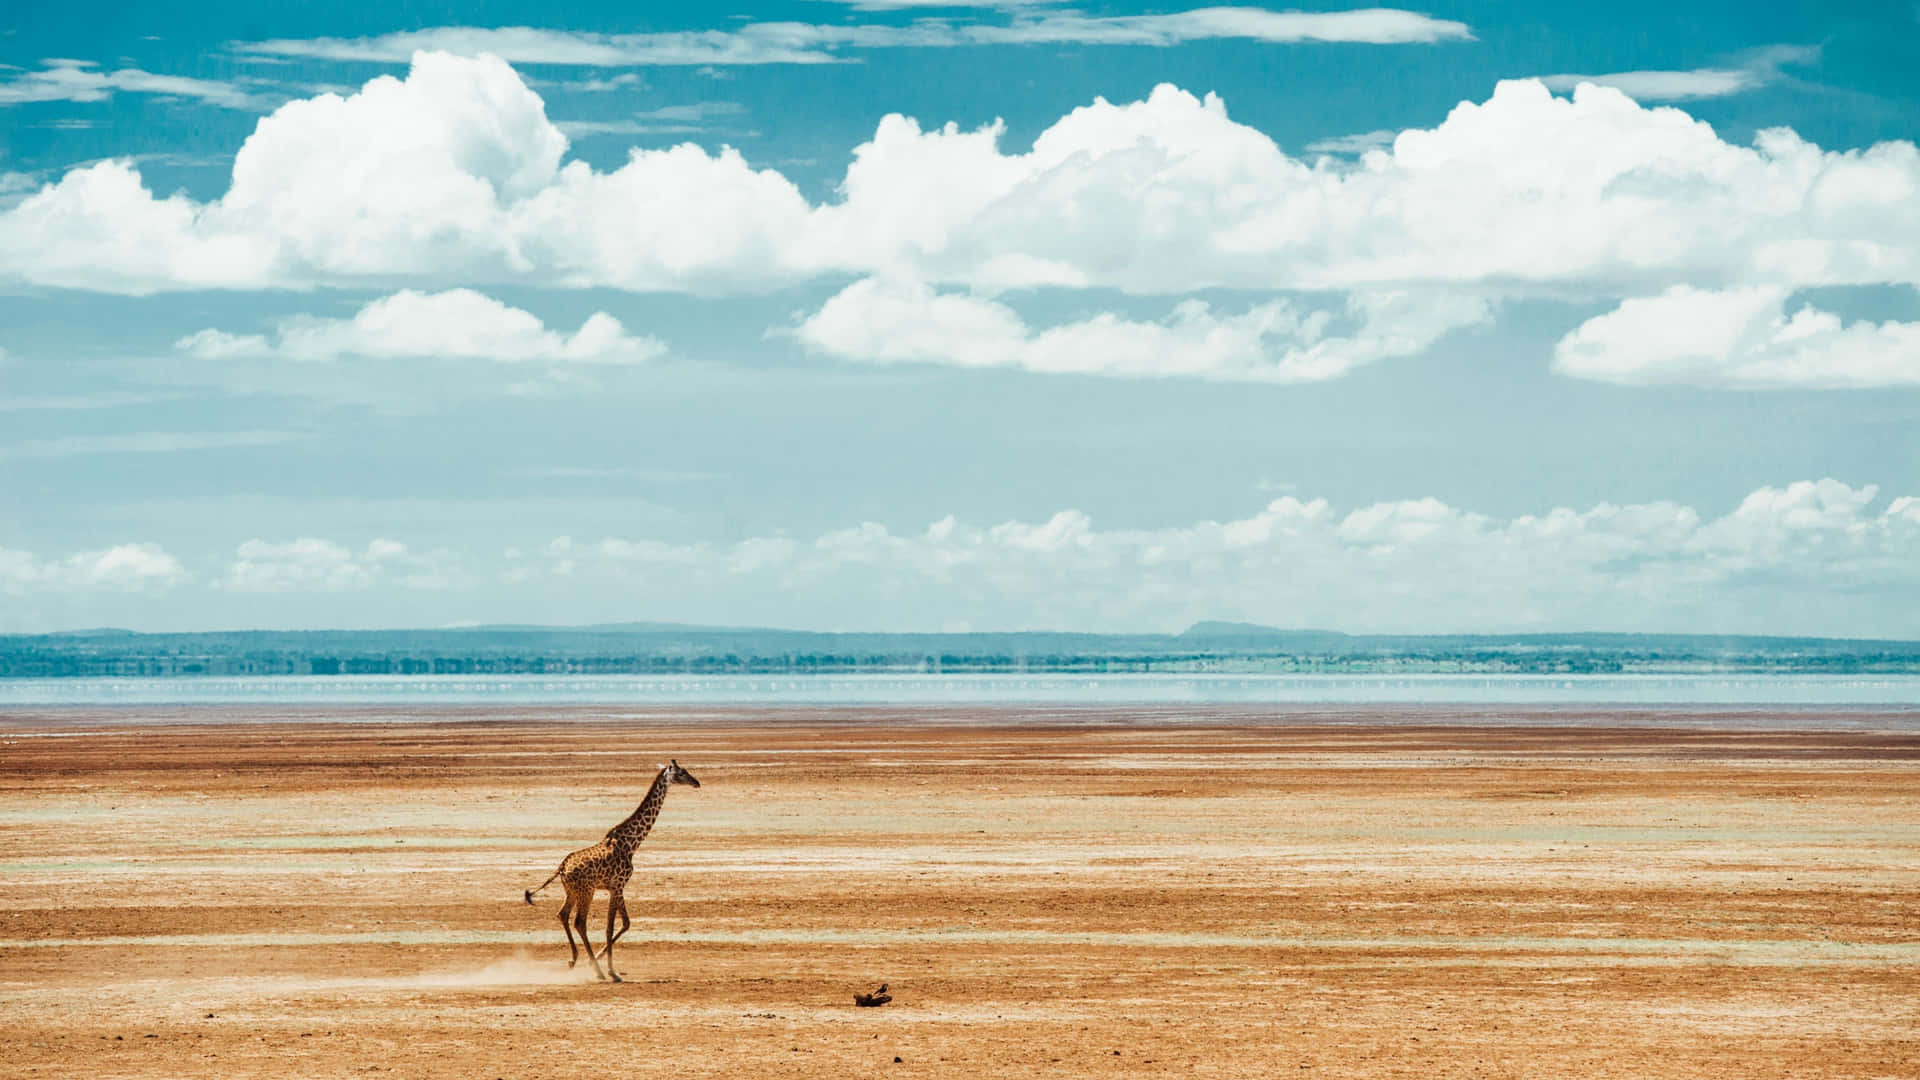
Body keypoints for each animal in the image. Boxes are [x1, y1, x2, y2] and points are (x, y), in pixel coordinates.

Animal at [522, 757, 702, 976]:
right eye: (682, 772)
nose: (696, 783)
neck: (631, 843)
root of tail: (562, 867)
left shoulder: (612, 888)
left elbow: (623, 923)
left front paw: (602, 962)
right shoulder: (618, 885)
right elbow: (613, 925)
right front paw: (611, 971)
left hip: (572, 891)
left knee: (562, 914)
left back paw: (574, 959)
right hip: (586, 891)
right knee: (579, 922)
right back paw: (597, 970)